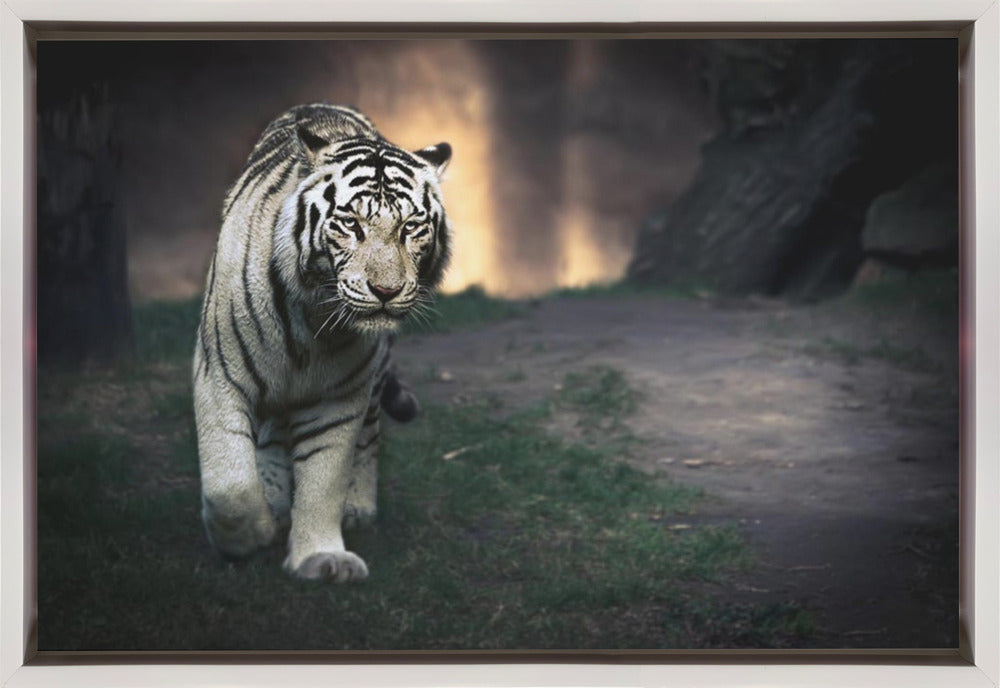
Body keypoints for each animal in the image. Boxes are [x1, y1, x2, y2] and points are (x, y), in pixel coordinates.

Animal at [193, 103, 452, 582]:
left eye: (411, 227)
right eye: (350, 224)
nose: (386, 290)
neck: (312, 320)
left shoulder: (340, 395)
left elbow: (324, 477)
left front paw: (320, 557)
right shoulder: (220, 374)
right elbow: (230, 483)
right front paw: (251, 534)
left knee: (369, 436)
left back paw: (357, 507)